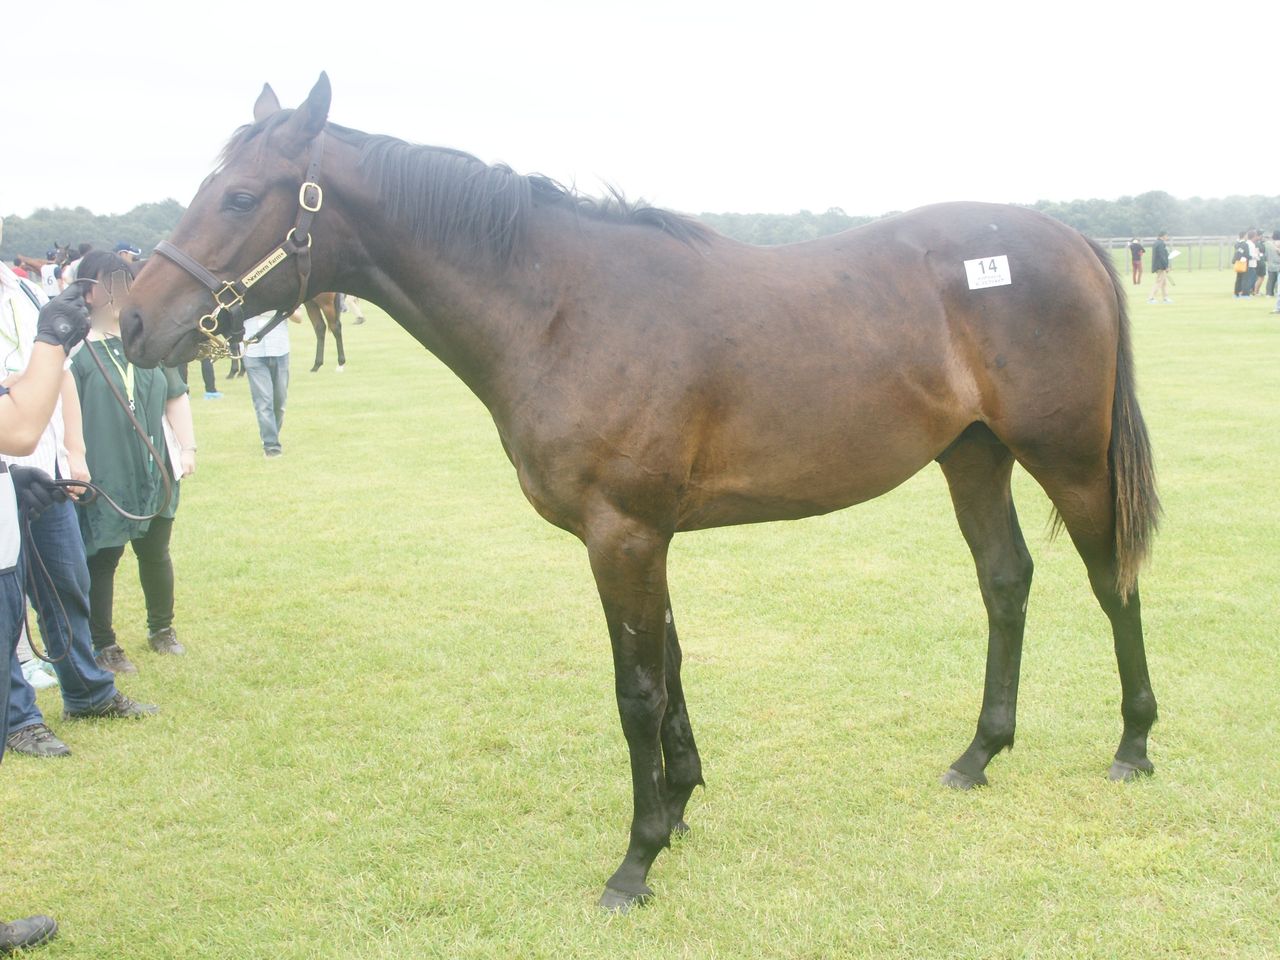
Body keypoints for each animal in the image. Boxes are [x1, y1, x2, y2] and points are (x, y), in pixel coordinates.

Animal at [120, 74, 1161, 911]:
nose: (129, 322)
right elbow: (672, 667)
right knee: (1006, 581)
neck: (564, 307)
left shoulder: (620, 533)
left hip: (1068, 460)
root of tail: (1072, 239)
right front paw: (684, 801)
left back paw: (1134, 744)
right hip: (974, 458)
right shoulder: (643, 535)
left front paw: (637, 857)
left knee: (1114, 582)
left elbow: (636, 690)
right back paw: (979, 753)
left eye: (240, 195)